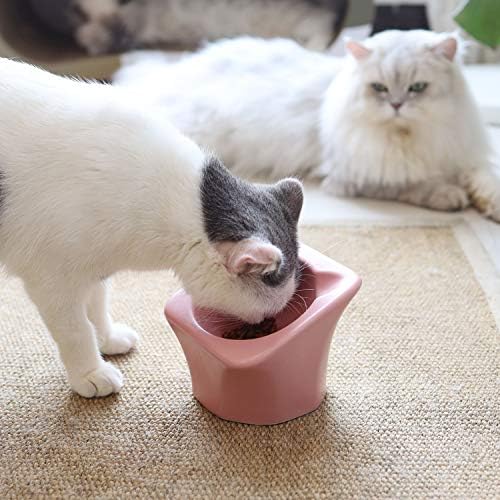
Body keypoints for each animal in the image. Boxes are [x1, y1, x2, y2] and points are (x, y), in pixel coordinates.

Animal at [0, 56, 304, 398]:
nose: (267, 325)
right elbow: (76, 330)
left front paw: (107, 338)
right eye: (266, 315)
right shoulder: (53, 280)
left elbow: (97, 305)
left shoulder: (92, 265)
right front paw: (90, 372)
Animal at [113, 29, 500, 221]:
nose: (396, 105)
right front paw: (450, 196)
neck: (412, 138)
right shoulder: (360, 177)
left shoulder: (464, 155)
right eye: (379, 88)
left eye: (418, 88)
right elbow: (418, 184)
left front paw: (488, 205)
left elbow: (485, 180)